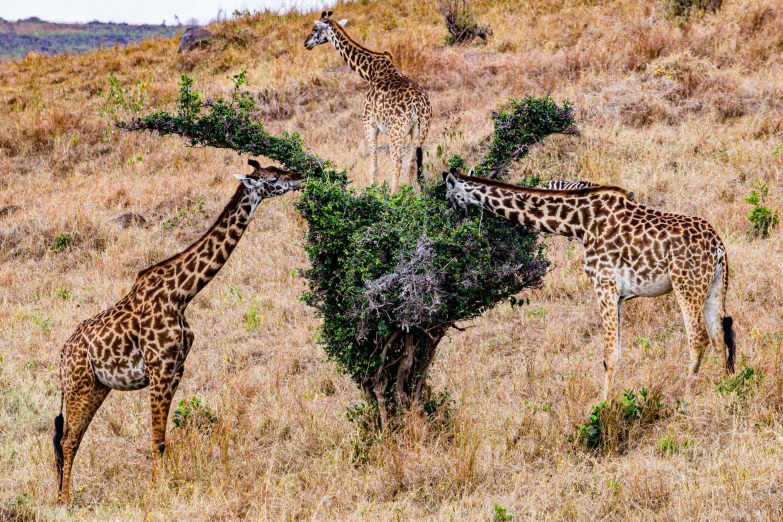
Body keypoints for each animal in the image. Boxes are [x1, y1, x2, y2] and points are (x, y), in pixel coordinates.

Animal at [52, 159, 304, 504]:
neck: (182, 294)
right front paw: (157, 492)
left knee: (70, 438)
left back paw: (62, 496)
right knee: (68, 440)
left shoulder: (176, 370)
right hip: (79, 386)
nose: (300, 176)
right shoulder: (159, 369)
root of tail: (63, 355)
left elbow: (163, 437)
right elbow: (156, 438)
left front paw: (167, 483)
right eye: (273, 177)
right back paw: (64, 501)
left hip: (98, 387)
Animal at [304, 10, 432, 192]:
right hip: (420, 131)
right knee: (412, 164)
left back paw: (394, 195)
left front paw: (372, 191)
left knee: (397, 163)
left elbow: (373, 164)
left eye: (315, 29)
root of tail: (418, 105)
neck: (369, 72)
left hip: (396, 132)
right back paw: (413, 195)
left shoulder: (369, 123)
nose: (306, 43)